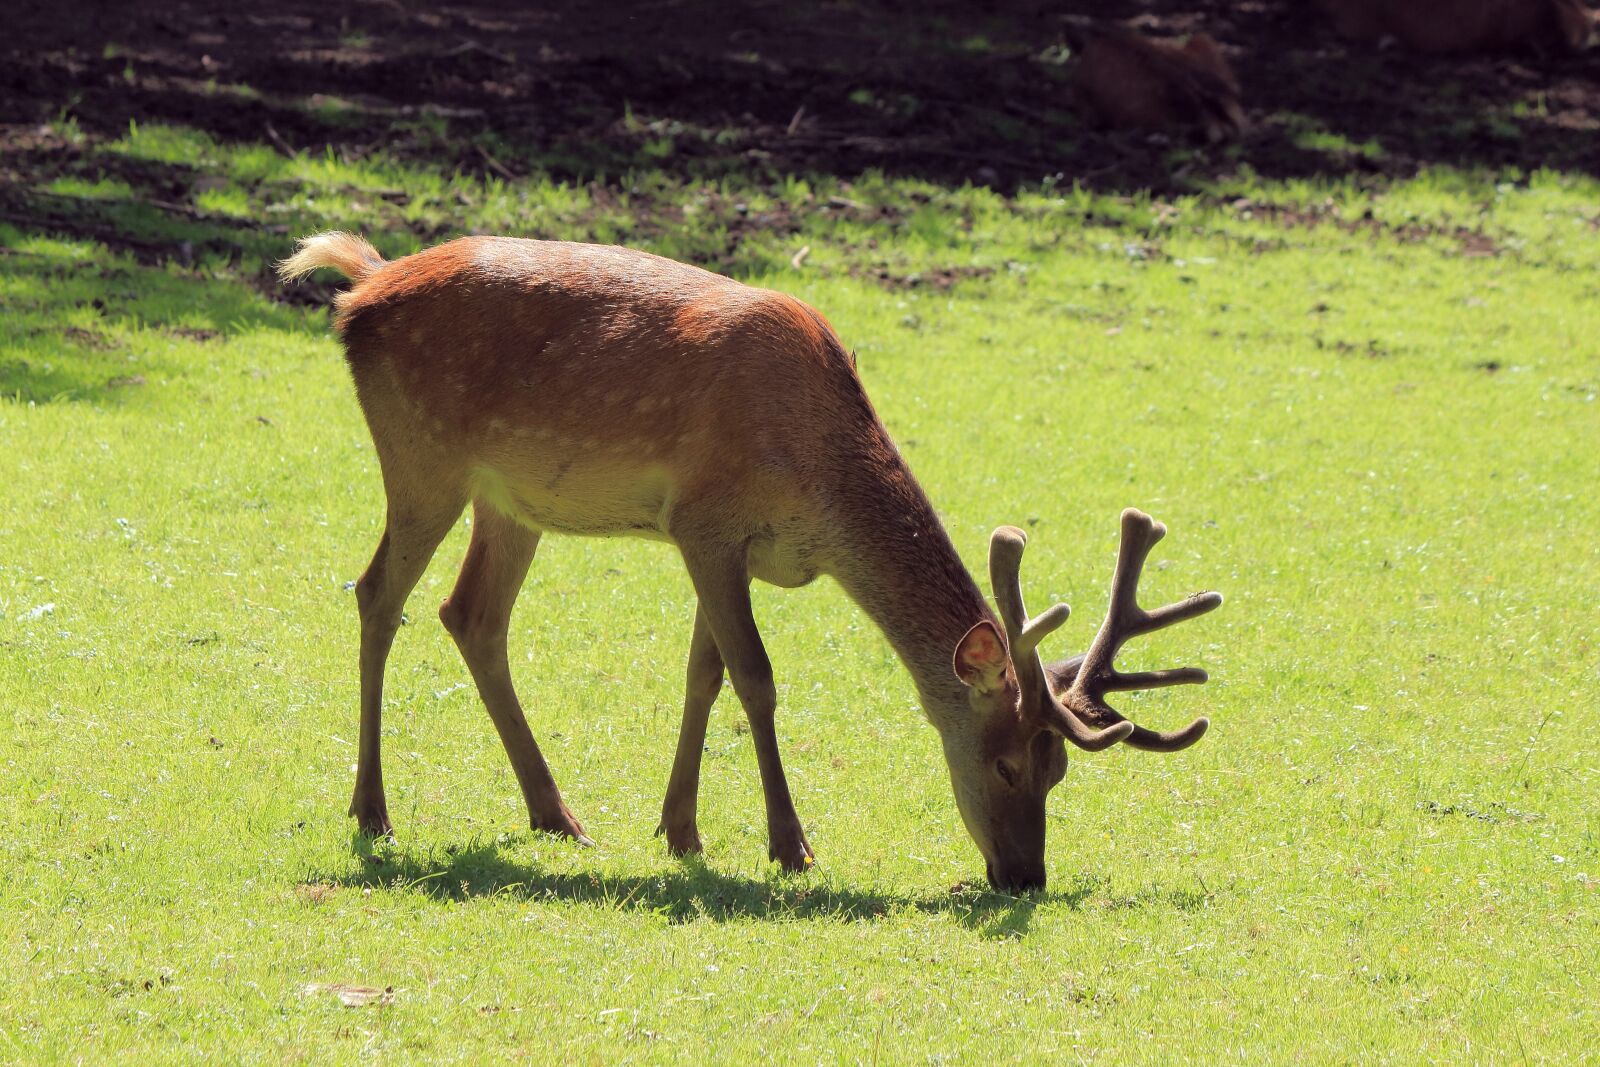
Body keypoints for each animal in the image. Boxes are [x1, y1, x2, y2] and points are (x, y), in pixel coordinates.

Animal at [277, 231, 1224, 892]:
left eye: (1060, 770)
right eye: (1007, 763)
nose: (1024, 876)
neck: (819, 482)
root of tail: (359, 289)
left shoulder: (723, 542)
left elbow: (706, 672)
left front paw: (680, 827)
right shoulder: (703, 519)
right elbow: (757, 676)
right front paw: (790, 842)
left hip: (510, 499)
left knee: (471, 614)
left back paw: (556, 813)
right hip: (423, 457)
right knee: (377, 594)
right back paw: (373, 809)